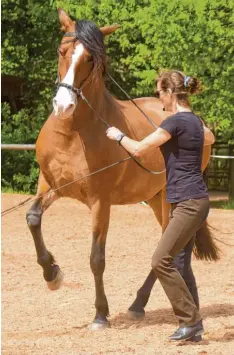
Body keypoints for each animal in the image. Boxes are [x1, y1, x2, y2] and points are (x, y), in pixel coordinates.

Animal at [26, 8, 218, 330]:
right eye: (61, 51)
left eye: (91, 59)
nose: (63, 106)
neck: (72, 133)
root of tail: (202, 126)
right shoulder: (51, 186)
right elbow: (32, 218)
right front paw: (52, 274)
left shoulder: (100, 202)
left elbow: (96, 258)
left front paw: (100, 315)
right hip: (153, 199)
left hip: (168, 200)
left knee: (169, 248)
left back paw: (139, 304)